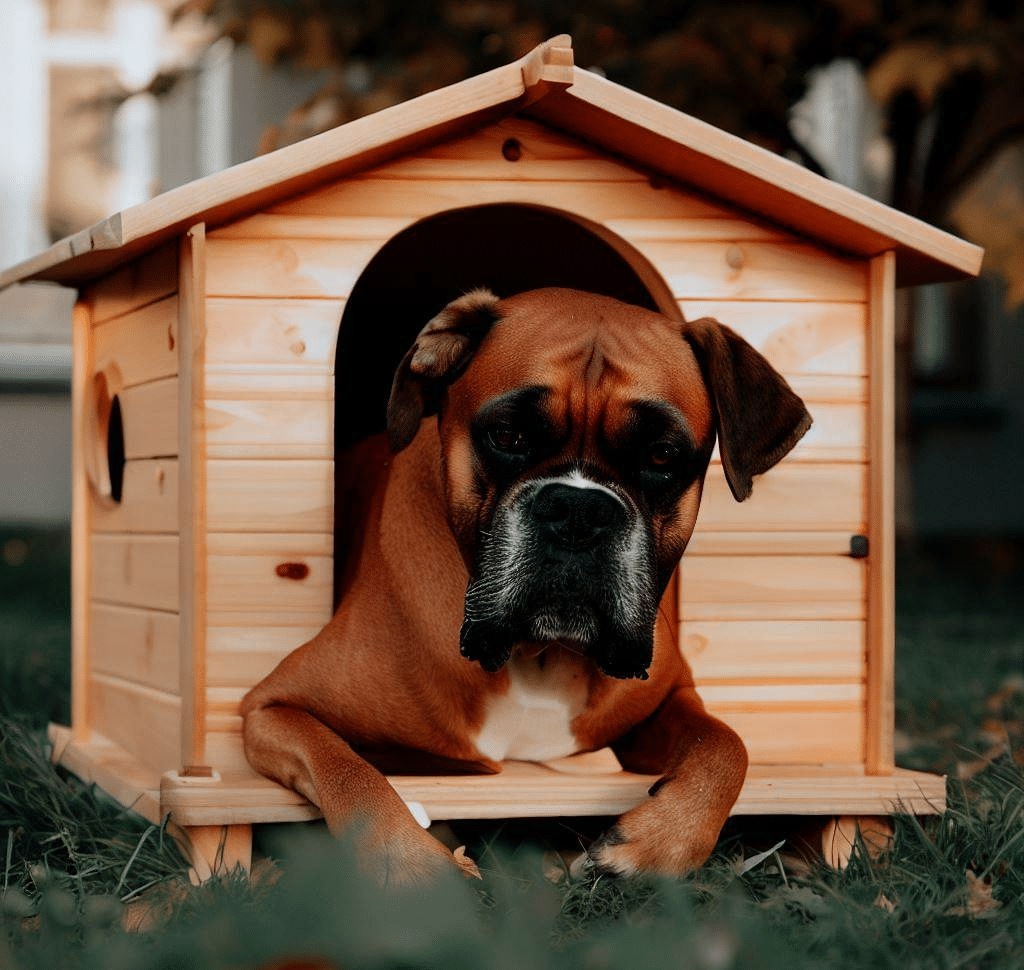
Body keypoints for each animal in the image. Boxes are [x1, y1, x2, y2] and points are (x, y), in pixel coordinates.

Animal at [239, 284, 806, 884]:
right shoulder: (272, 708)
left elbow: (726, 744)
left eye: (661, 455)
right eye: (508, 435)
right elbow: (348, 768)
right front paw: (413, 869)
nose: (579, 510)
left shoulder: (670, 702)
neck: (539, 655)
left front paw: (659, 842)